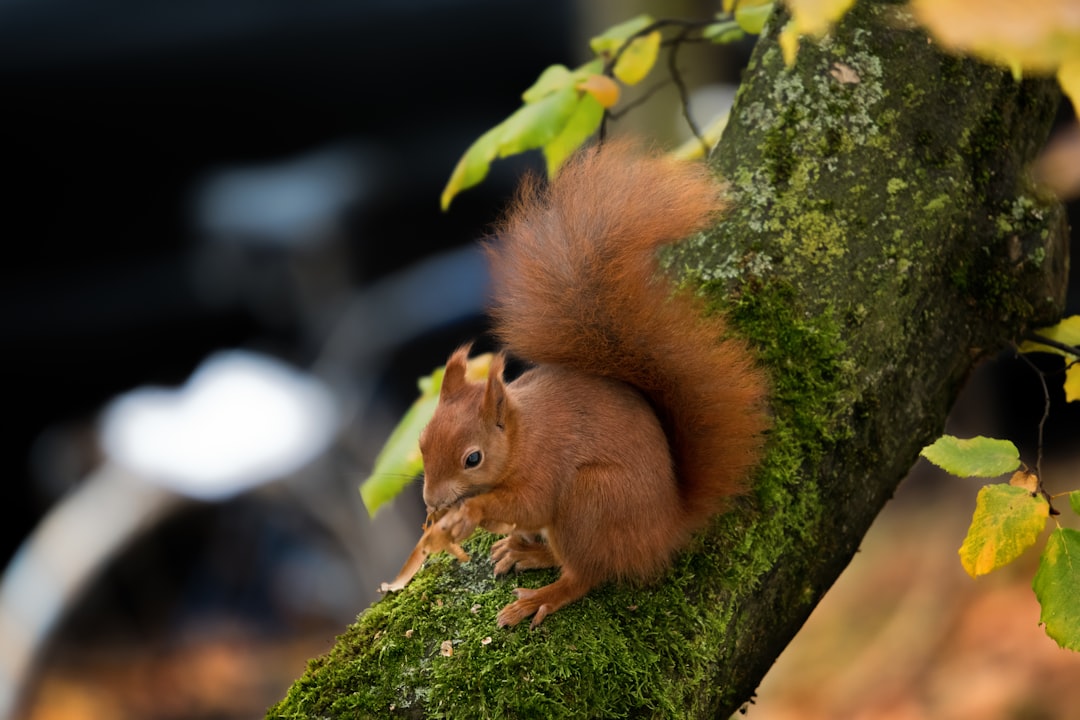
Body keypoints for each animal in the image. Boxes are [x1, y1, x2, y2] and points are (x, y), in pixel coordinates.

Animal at [416, 138, 773, 626]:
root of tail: (666, 530)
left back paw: (540, 596)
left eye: (473, 459)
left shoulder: (546, 465)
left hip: (589, 502)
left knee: (585, 574)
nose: (432, 503)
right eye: (421, 444)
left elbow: (528, 505)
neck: (523, 435)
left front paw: (471, 511)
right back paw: (527, 552)